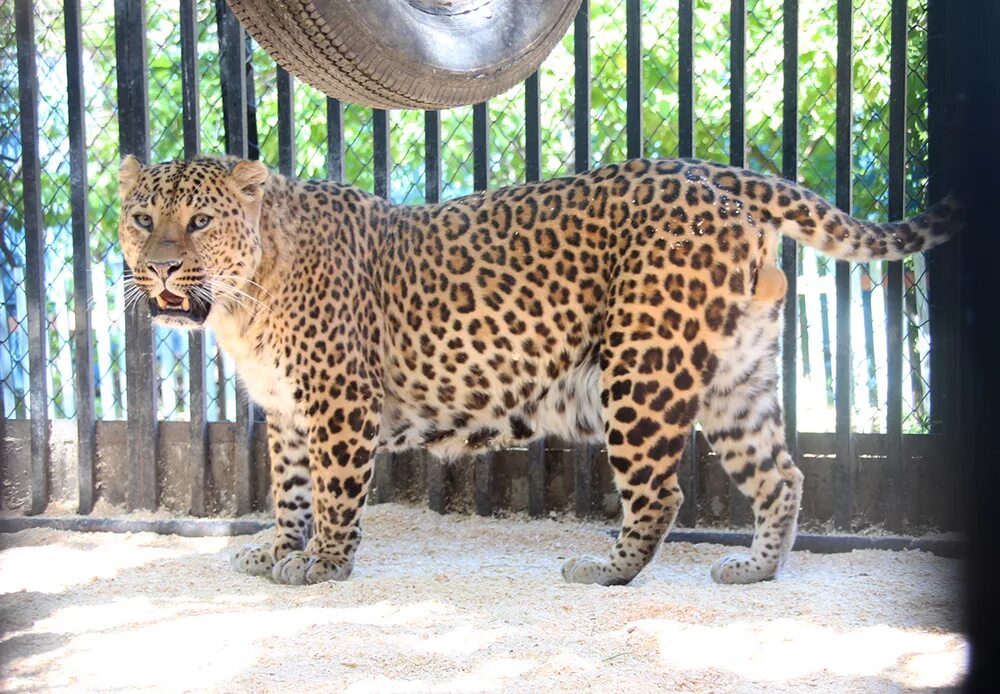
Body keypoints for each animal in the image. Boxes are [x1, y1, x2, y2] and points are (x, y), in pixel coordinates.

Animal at [117, 154, 960, 588]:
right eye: (141, 218)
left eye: (200, 221)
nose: (160, 267)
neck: (242, 302)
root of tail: (712, 170)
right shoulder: (288, 413)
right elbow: (290, 492)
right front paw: (275, 550)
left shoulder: (337, 405)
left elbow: (333, 494)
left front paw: (322, 564)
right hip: (736, 376)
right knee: (781, 474)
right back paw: (756, 568)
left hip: (643, 368)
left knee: (663, 490)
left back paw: (606, 569)